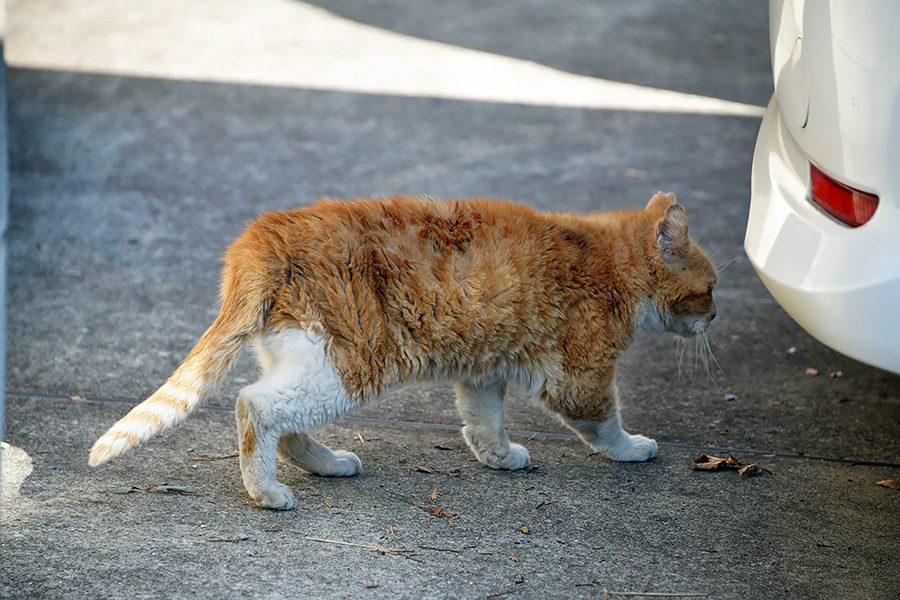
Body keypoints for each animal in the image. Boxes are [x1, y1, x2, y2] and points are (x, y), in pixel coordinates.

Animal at [86, 192, 716, 510]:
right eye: (711, 288)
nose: (714, 317)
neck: (611, 263)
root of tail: (262, 236)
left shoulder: (481, 371)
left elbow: (483, 421)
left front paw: (499, 456)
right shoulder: (581, 375)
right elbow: (604, 423)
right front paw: (633, 450)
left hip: (305, 357)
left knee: (282, 420)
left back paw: (328, 464)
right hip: (348, 363)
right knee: (255, 407)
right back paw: (266, 492)